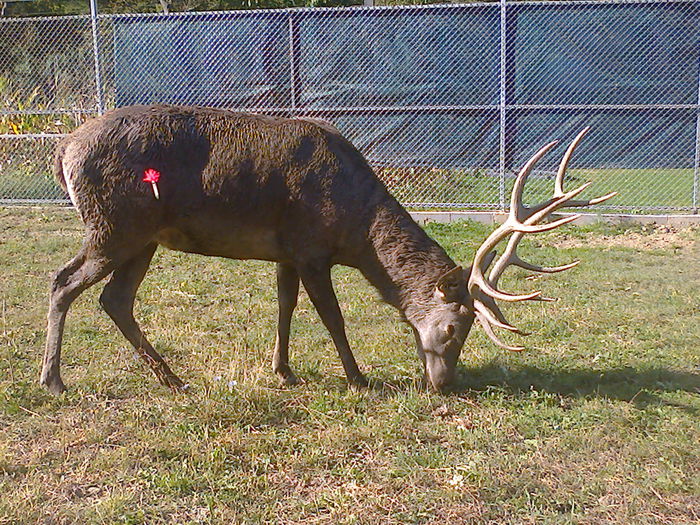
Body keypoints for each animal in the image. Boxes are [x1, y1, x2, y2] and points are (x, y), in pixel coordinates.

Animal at [41, 105, 616, 392]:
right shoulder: (312, 247)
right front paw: (358, 378)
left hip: (141, 237)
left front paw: (284, 371)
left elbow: (285, 307)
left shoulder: (288, 253)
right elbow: (332, 317)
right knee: (64, 281)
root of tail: (64, 147)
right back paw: (54, 380)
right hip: (114, 226)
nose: (445, 385)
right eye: (454, 328)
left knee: (115, 299)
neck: (355, 231)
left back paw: (173, 379)